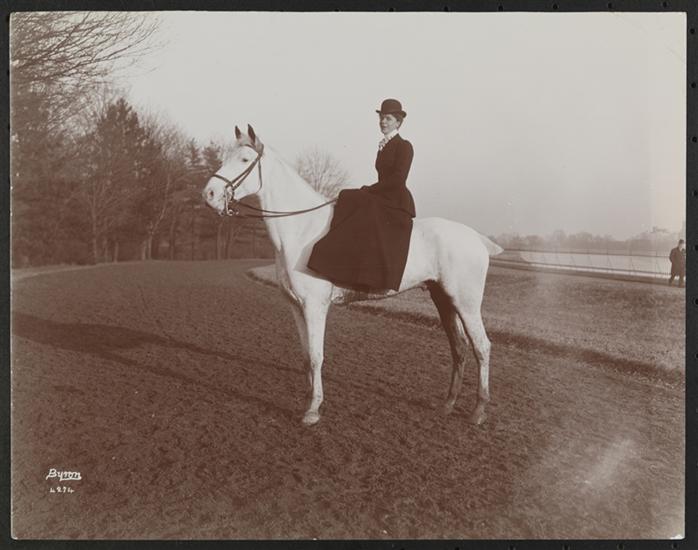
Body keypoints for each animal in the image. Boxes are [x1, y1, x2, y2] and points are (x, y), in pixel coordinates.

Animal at [202, 125, 503, 426]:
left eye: (243, 160)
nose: (209, 195)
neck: (302, 230)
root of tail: (478, 238)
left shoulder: (315, 307)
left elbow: (316, 356)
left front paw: (313, 409)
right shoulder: (296, 306)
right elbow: (305, 356)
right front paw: (308, 399)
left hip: (466, 303)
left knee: (482, 346)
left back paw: (478, 410)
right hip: (444, 300)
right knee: (459, 348)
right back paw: (448, 404)